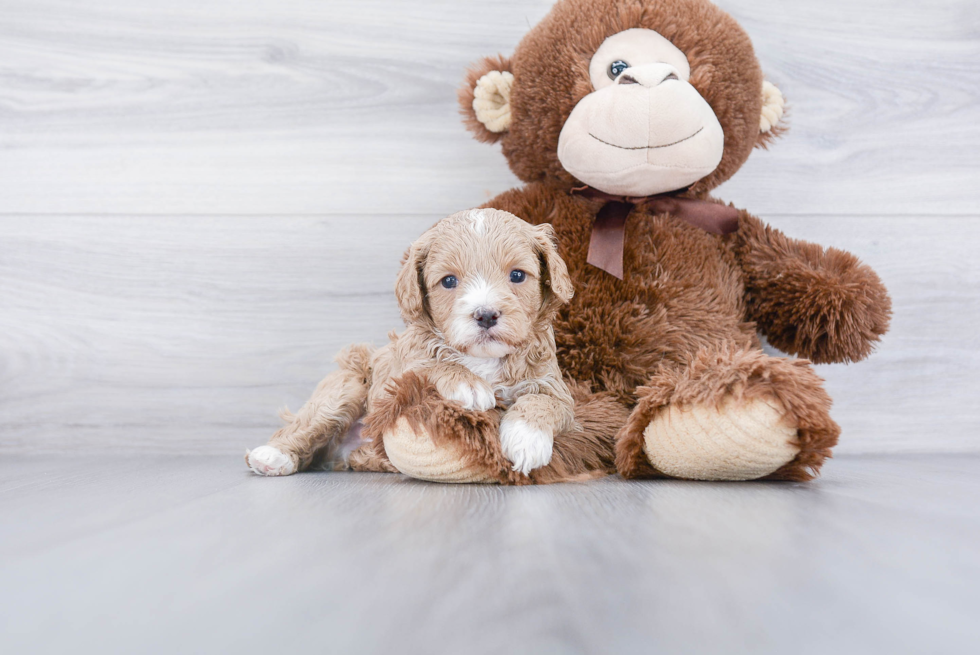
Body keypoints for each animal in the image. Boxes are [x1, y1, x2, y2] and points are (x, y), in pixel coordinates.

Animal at [245, 209, 580, 476]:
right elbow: (427, 364)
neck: (481, 358)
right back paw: (272, 456)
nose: (485, 315)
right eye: (448, 281)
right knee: (305, 423)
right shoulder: (394, 376)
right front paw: (467, 384)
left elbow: (544, 402)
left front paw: (526, 440)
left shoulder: (554, 386)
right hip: (345, 388)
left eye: (517, 275)